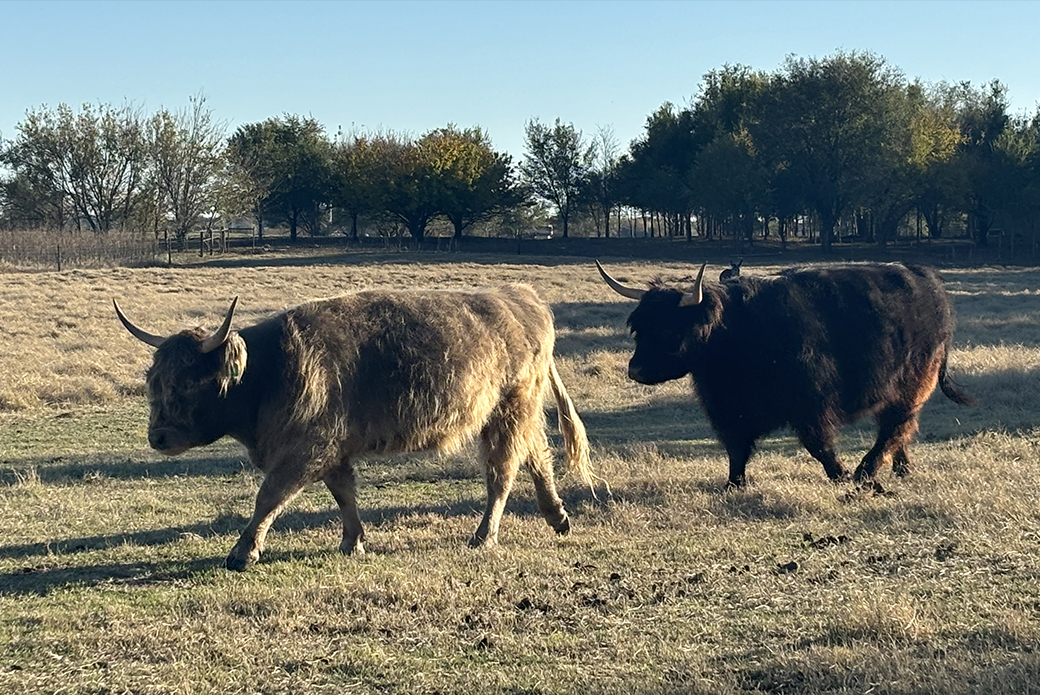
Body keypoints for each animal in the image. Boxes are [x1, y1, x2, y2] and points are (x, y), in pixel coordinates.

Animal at [599, 262, 969, 488]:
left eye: (669, 330)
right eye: (639, 328)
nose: (636, 370)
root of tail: (928, 279)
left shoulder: (811, 405)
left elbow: (819, 445)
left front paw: (840, 475)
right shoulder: (727, 409)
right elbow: (736, 448)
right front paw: (734, 484)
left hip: (913, 383)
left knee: (895, 426)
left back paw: (865, 471)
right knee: (898, 428)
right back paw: (901, 468)